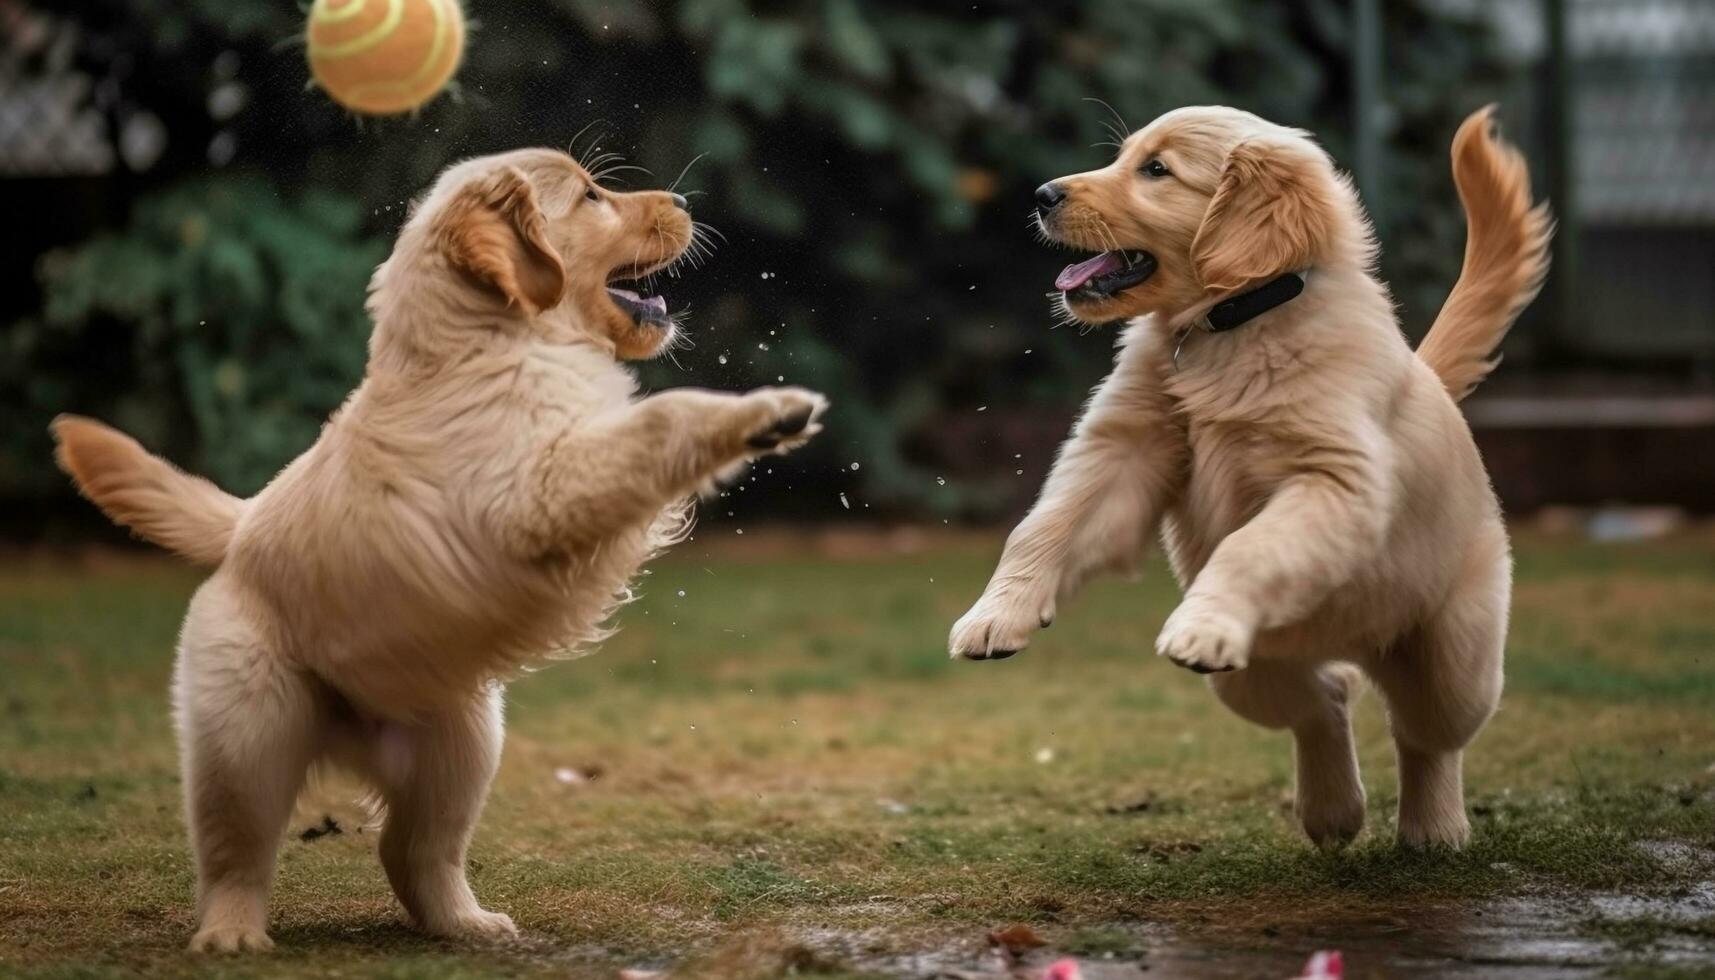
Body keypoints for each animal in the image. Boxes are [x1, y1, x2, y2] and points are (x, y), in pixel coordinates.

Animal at [50, 147, 826, 954]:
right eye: (590, 195)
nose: (682, 201)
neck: (491, 340)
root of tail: (242, 523)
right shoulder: (538, 492)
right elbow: (662, 418)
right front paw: (764, 412)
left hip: (464, 740)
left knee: (411, 847)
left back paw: (466, 924)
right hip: (246, 735)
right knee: (237, 851)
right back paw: (231, 932)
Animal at [953, 107, 1557, 851]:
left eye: (1156, 170)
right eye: (1125, 157)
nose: (1041, 195)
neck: (1231, 327)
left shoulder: (1333, 480)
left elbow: (1249, 545)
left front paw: (1199, 624)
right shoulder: (1124, 451)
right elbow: (1043, 526)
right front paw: (995, 615)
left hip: (1452, 652)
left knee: (1426, 734)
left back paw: (1431, 829)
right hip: (1250, 675)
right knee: (1321, 702)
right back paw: (1332, 812)